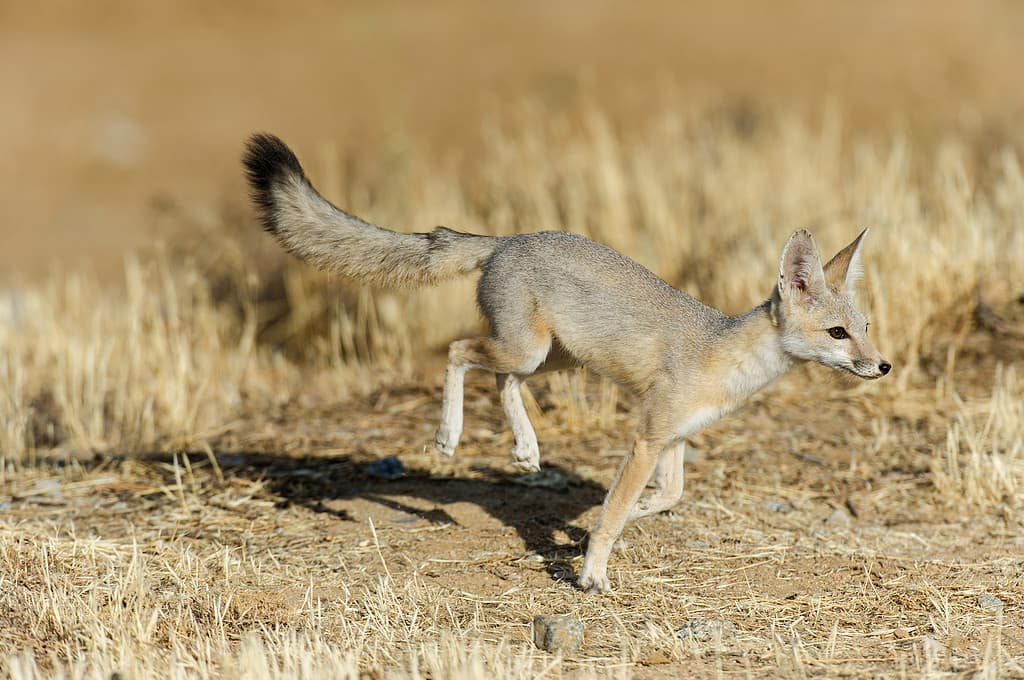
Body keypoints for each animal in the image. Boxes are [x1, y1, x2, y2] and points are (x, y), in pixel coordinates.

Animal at [243, 134, 892, 593]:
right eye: (838, 334)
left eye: (864, 329)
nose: (883, 367)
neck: (726, 352)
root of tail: (509, 238)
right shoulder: (647, 437)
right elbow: (614, 513)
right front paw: (591, 572)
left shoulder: (674, 436)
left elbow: (669, 494)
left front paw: (639, 512)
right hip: (527, 349)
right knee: (458, 352)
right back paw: (449, 435)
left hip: (550, 360)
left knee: (500, 380)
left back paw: (527, 449)